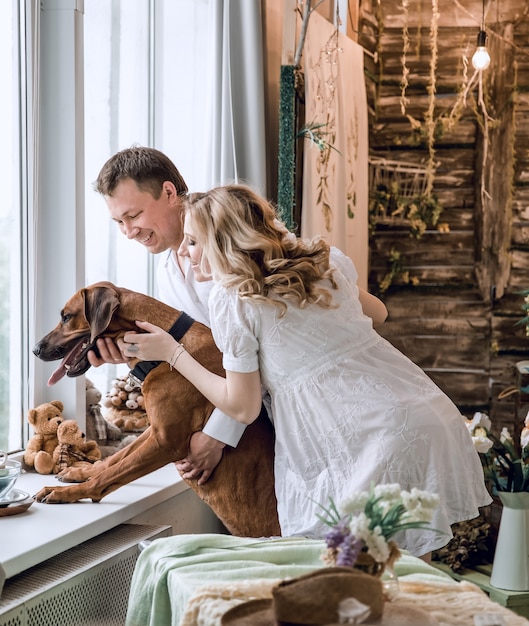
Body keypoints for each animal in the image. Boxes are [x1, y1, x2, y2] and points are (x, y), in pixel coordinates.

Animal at [32, 280, 280, 532]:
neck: (168, 345)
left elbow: (111, 474)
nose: (35, 349)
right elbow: (114, 459)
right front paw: (81, 471)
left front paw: (67, 493)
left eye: (66, 317)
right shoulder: (154, 431)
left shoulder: (166, 442)